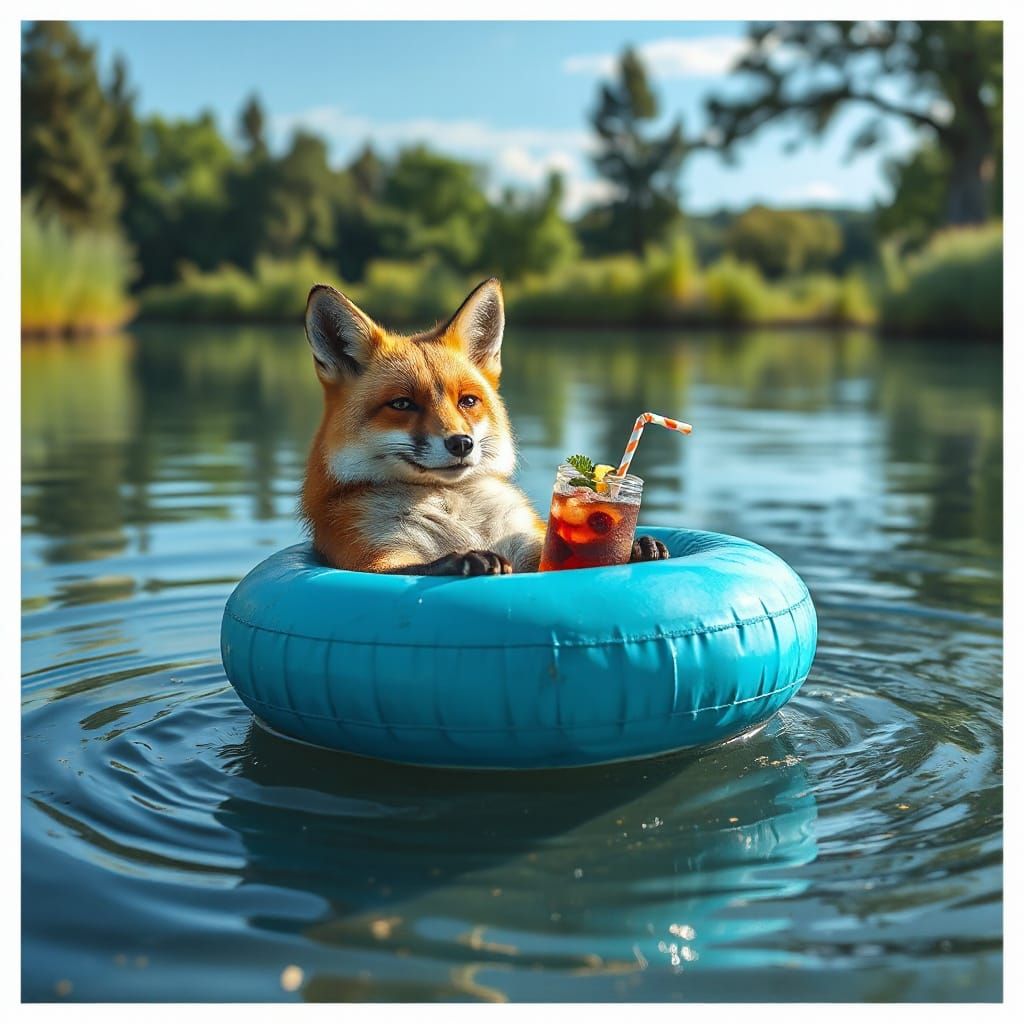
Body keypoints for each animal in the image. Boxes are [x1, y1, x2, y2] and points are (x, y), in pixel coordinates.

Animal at [299, 277, 669, 576]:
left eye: (467, 401)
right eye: (402, 404)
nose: (461, 443)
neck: (452, 505)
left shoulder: (532, 550)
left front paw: (634, 548)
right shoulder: (368, 557)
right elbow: (419, 566)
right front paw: (464, 560)